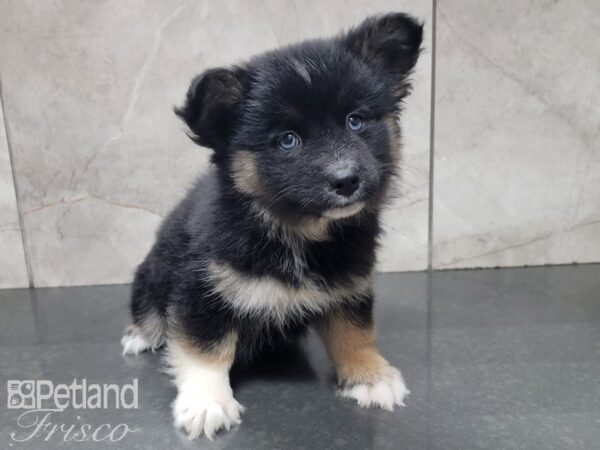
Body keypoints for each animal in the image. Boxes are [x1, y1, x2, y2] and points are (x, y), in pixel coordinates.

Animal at [122, 13, 422, 440]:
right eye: (287, 141)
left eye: (356, 121)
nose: (346, 180)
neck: (296, 231)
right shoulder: (201, 291)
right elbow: (205, 350)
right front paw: (207, 403)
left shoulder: (349, 285)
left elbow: (355, 333)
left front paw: (370, 376)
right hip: (150, 276)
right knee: (148, 311)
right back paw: (141, 335)